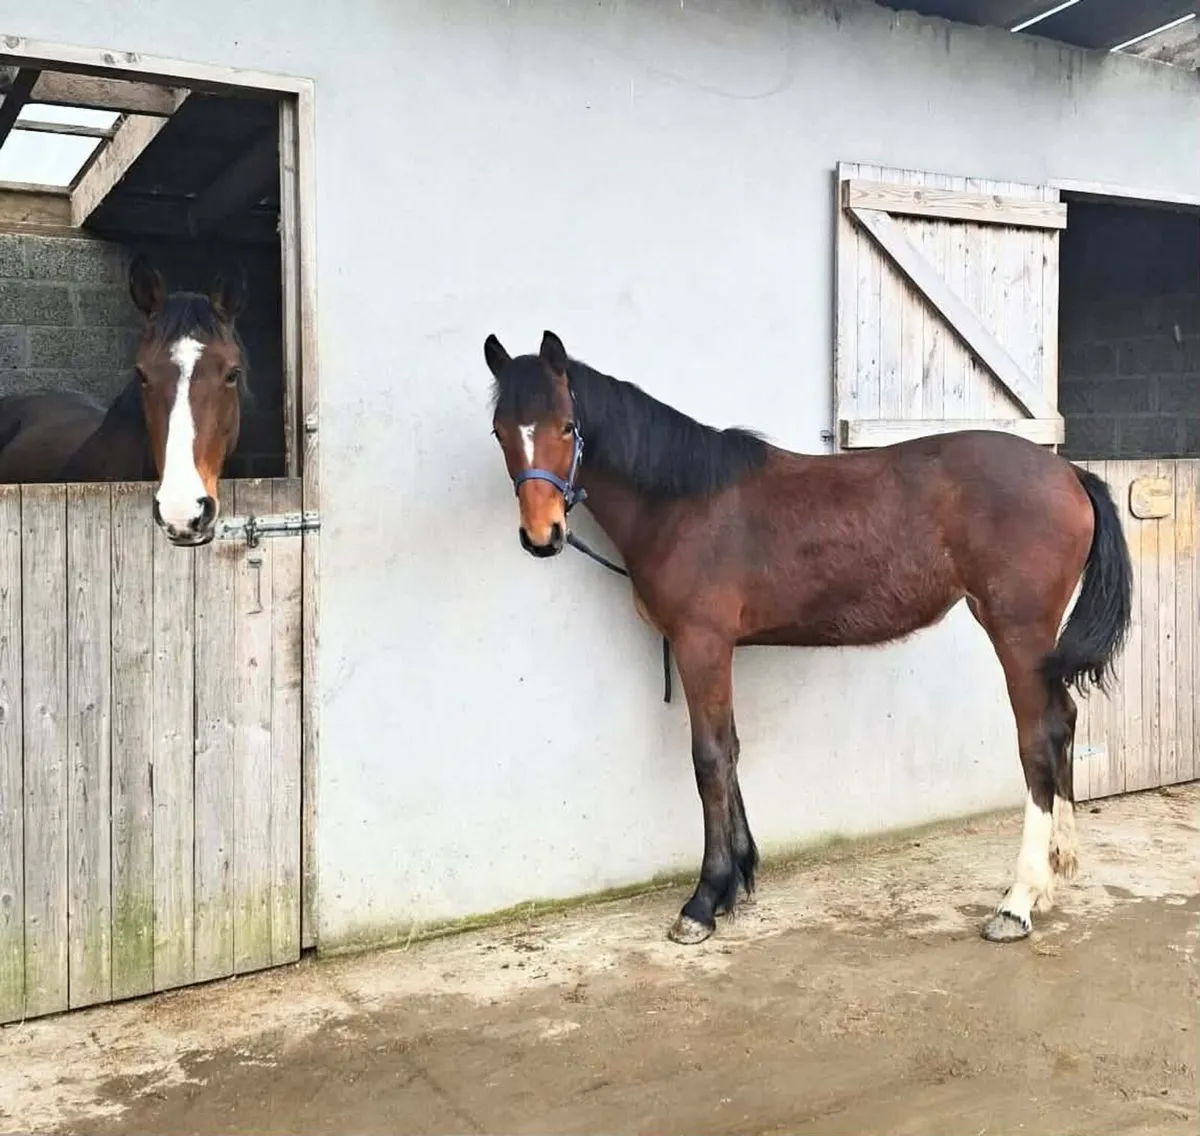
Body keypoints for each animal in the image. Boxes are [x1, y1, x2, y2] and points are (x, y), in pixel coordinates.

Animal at [482, 329, 1134, 947]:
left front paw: (703, 900)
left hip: (1017, 632)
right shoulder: (716, 651)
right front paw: (737, 879)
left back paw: (1018, 901)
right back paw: (1056, 871)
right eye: (500, 431)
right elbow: (731, 749)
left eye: (568, 426)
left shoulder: (701, 644)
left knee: (1038, 741)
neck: (683, 501)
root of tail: (1068, 473)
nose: (542, 535)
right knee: (1065, 721)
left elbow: (709, 758)